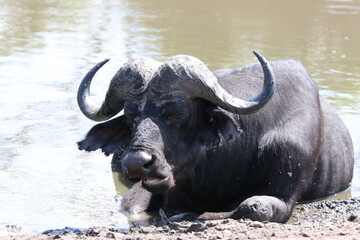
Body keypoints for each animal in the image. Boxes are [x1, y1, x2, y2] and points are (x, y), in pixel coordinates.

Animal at [76, 51, 354, 222]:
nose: (136, 162)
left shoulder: (283, 193)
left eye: (178, 113)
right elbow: (130, 205)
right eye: (131, 115)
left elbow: (251, 208)